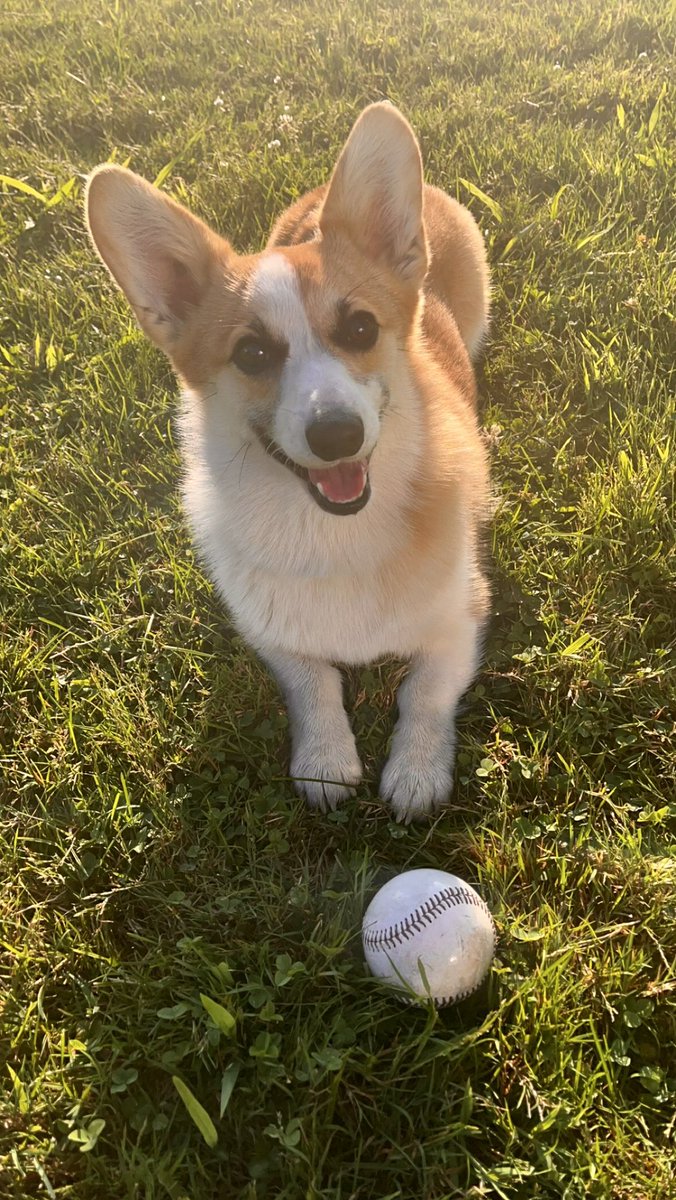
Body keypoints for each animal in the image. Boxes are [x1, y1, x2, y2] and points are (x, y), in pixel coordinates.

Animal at [88, 103, 492, 820]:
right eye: (251, 353)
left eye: (360, 328)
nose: (337, 434)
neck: (333, 533)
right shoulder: (273, 635)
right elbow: (314, 684)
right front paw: (326, 761)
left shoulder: (462, 618)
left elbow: (422, 692)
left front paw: (416, 772)